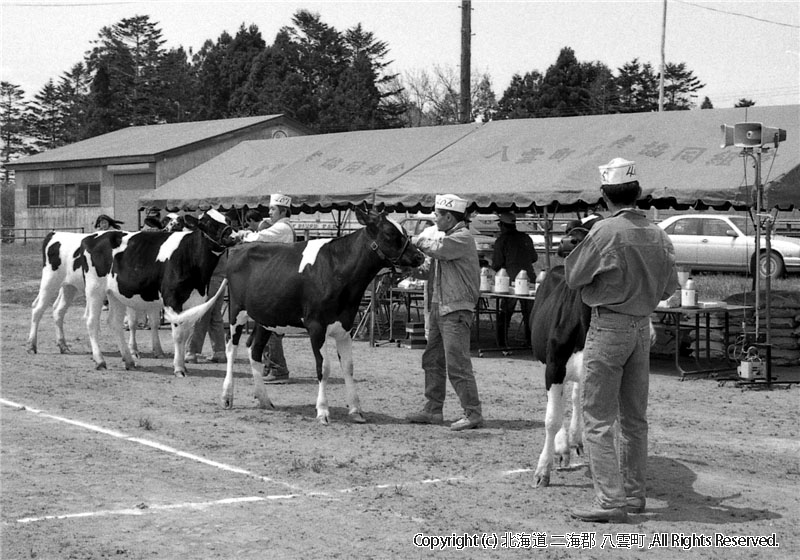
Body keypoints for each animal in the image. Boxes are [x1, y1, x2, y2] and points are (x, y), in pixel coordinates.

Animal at [81, 210, 238, 376]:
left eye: (228, 220)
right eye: (207, 223)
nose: (234, 236)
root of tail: (92, 237)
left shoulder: (195, 301)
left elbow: (186, 332)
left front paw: (183, 365)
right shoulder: (172, 300)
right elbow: (178, 335)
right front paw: (179, 368)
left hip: (115, 294)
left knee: (115, 323)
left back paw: (129, 360)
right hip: (94, 289)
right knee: (92, 322)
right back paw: (100, 360)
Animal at [219, 207, 424, 424]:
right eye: (389, 233)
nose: (419, 256)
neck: (338, 271)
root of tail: (241, 246)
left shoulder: (345, 326)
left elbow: (348, 367)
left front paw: (356, 410)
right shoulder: (316, 326)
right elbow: (323, 368)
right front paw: (323, 411)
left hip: (266, 318)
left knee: (254, 350)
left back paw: (264, 400)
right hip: (236, 311)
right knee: (231, 349)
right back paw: (227, 397)